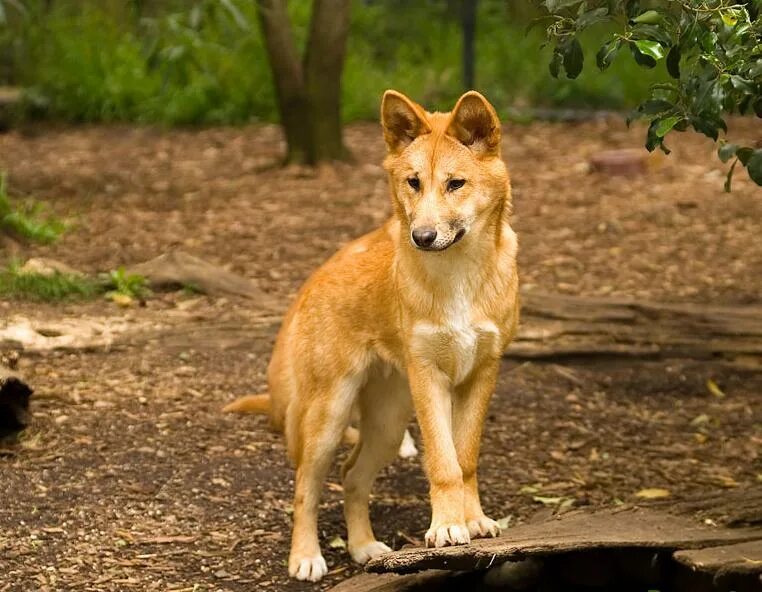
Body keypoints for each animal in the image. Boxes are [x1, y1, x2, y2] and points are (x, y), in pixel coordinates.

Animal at [221, 90, 516, 580]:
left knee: (352, 477)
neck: (458, 276)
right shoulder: (428, 376)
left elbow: (465, 458)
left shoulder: (483, 372)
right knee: (306, 488)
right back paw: (305, 557)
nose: (422, 236)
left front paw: (473, 520)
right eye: (413, 182)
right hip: (328, 418)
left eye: (456, 183)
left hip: (388, 424)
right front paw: (447, 528)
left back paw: (363, 547)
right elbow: (443, 464)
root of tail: (313, 279)